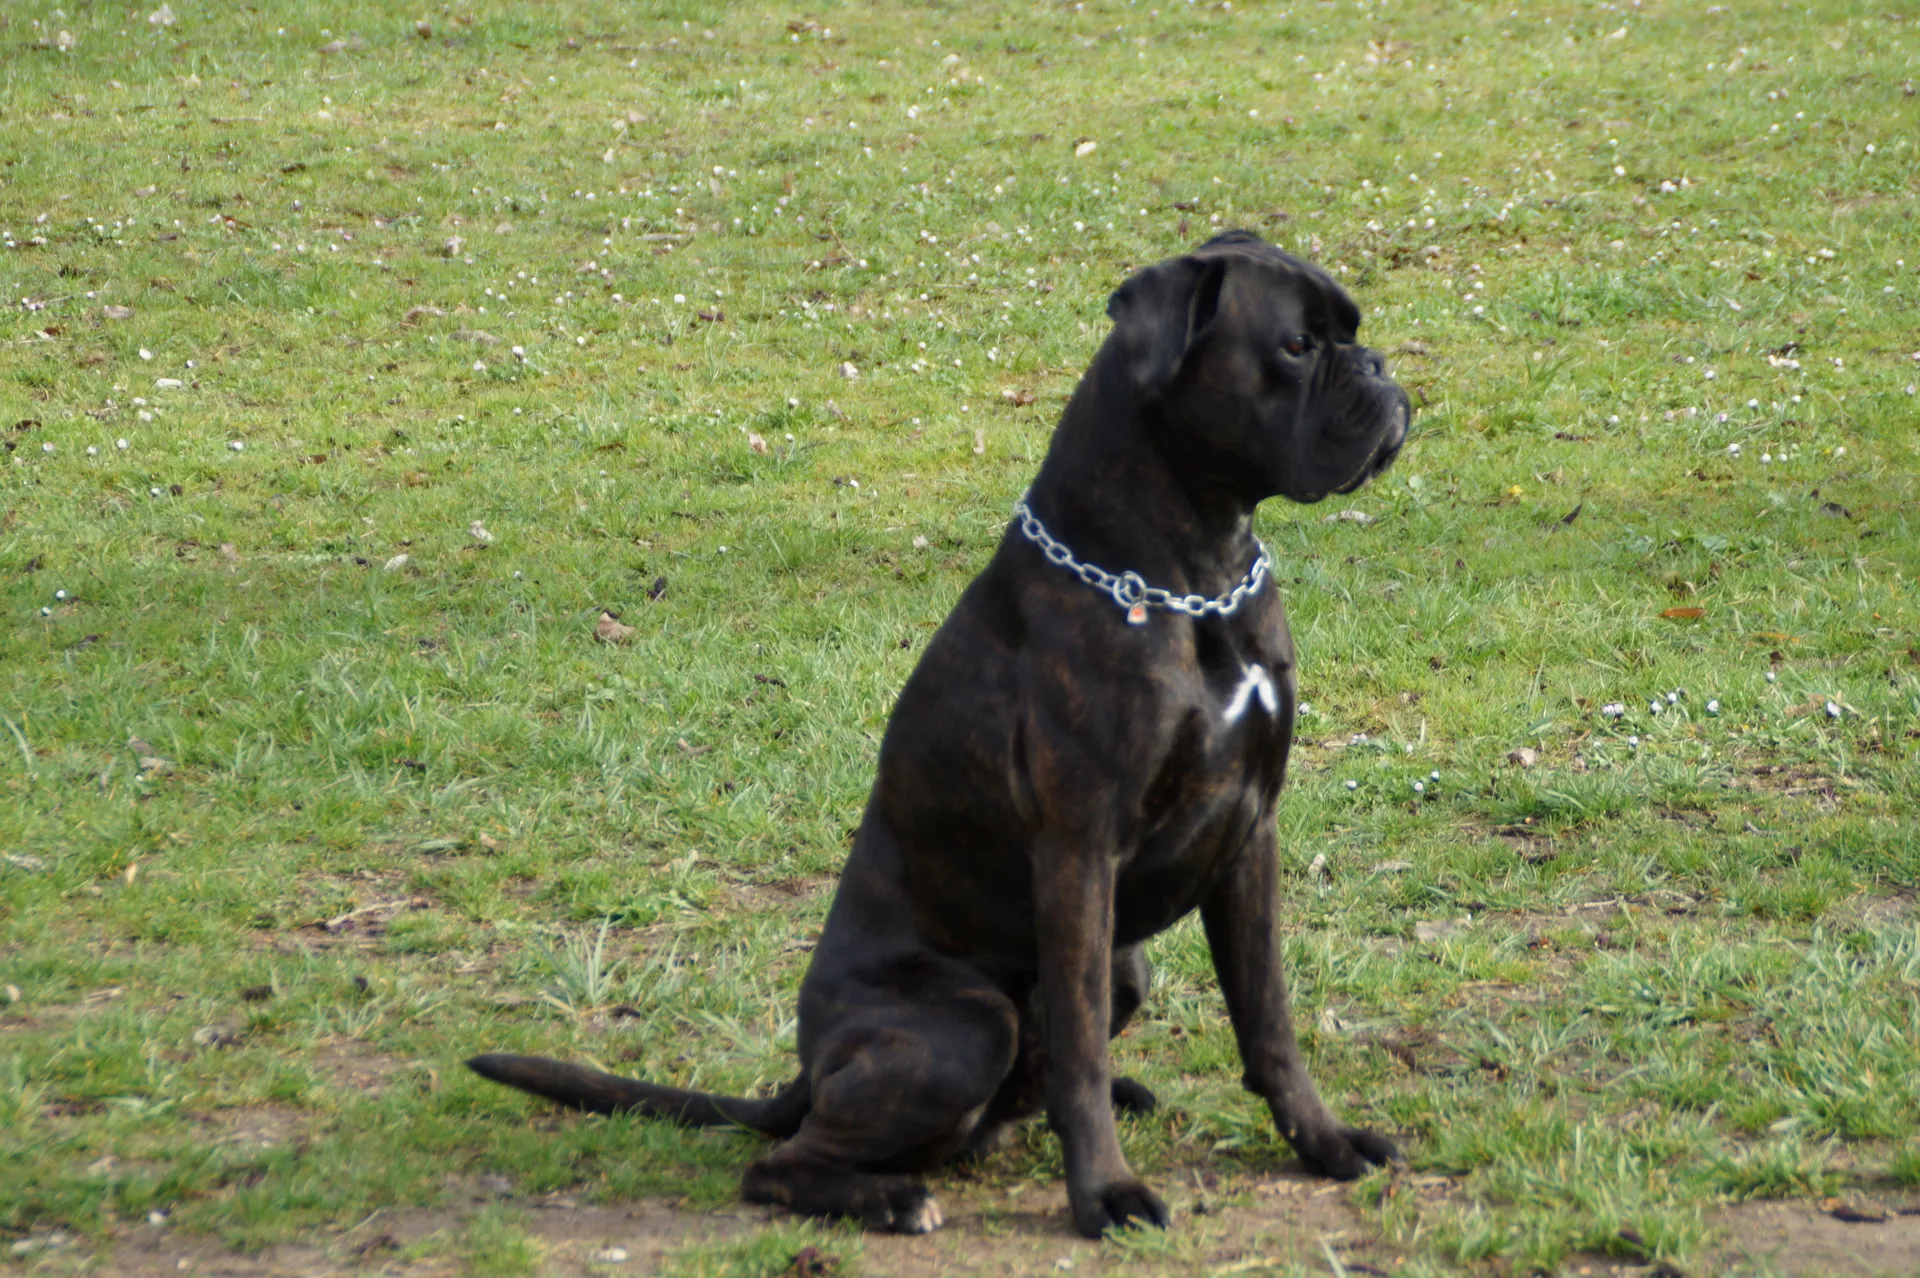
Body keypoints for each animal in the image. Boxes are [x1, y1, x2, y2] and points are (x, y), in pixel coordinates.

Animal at [470, 230, 1410, 1239]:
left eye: (1350, 332)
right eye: (1297, 347)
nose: (1380, 367)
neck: (1196, 576)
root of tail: (808, 1070)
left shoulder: (1249, 834)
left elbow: (1268, 1019)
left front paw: (1324, 1144)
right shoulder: (1079, 852)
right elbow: (1084, 1048)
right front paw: (1104, 1193)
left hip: (1124, 967)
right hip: (966, 1025)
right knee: (783, 1163)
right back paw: (892, 1198)